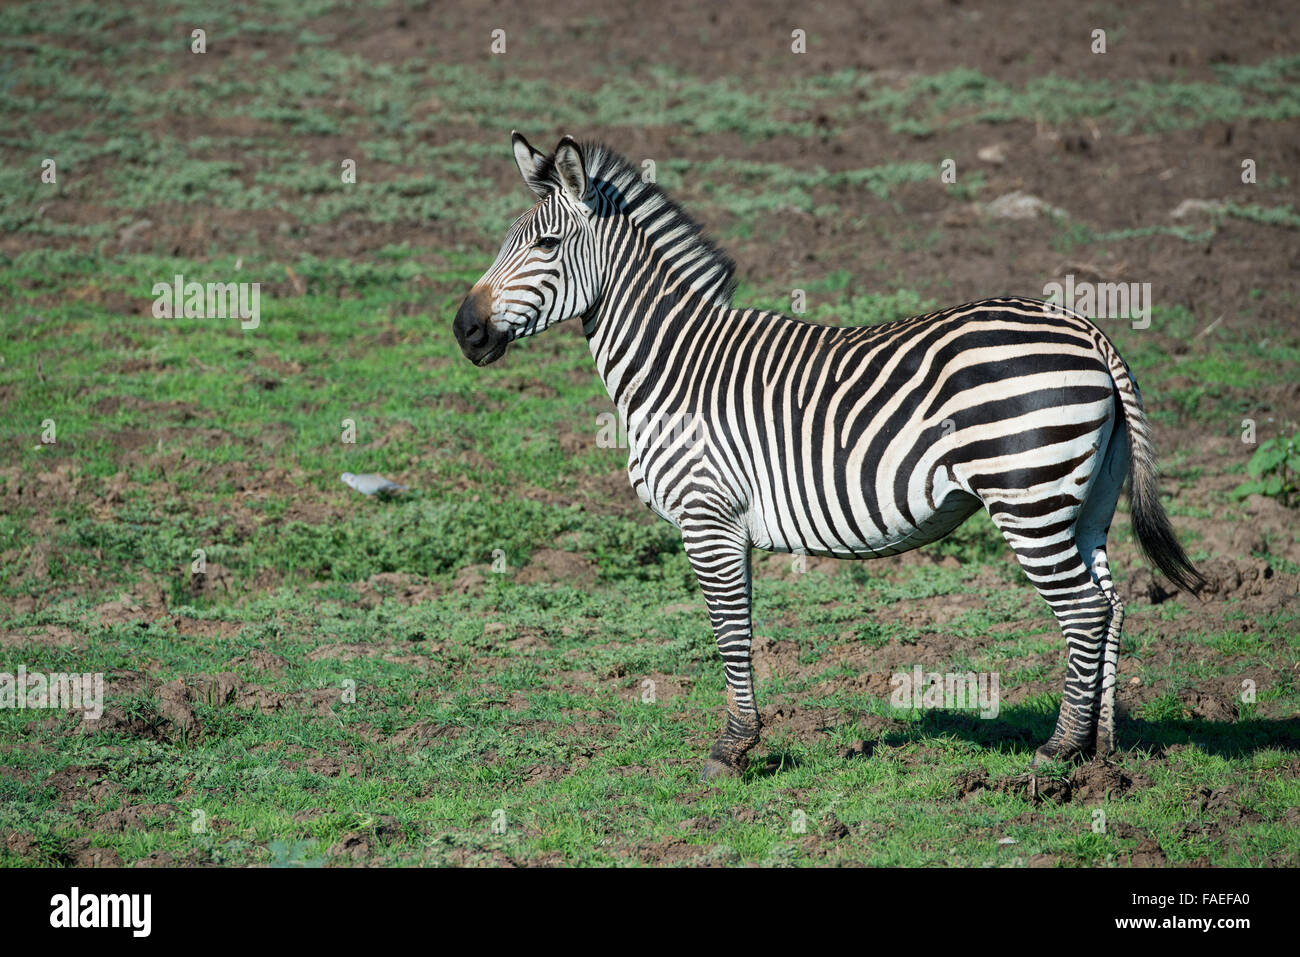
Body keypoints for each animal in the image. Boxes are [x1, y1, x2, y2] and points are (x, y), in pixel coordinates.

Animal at [453, 133, 1204, 780]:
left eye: (548, 244)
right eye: (505, 241)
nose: (464, 331)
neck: (674, 366)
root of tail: (1085, 328)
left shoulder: (707, 516)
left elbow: (729, 630)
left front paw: (733, 747)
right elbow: (738, 627)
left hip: (1028, 496)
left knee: (1083, 610)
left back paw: (1055, 751)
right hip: (1084, 500)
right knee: (1112, 605)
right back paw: (1100, 754)